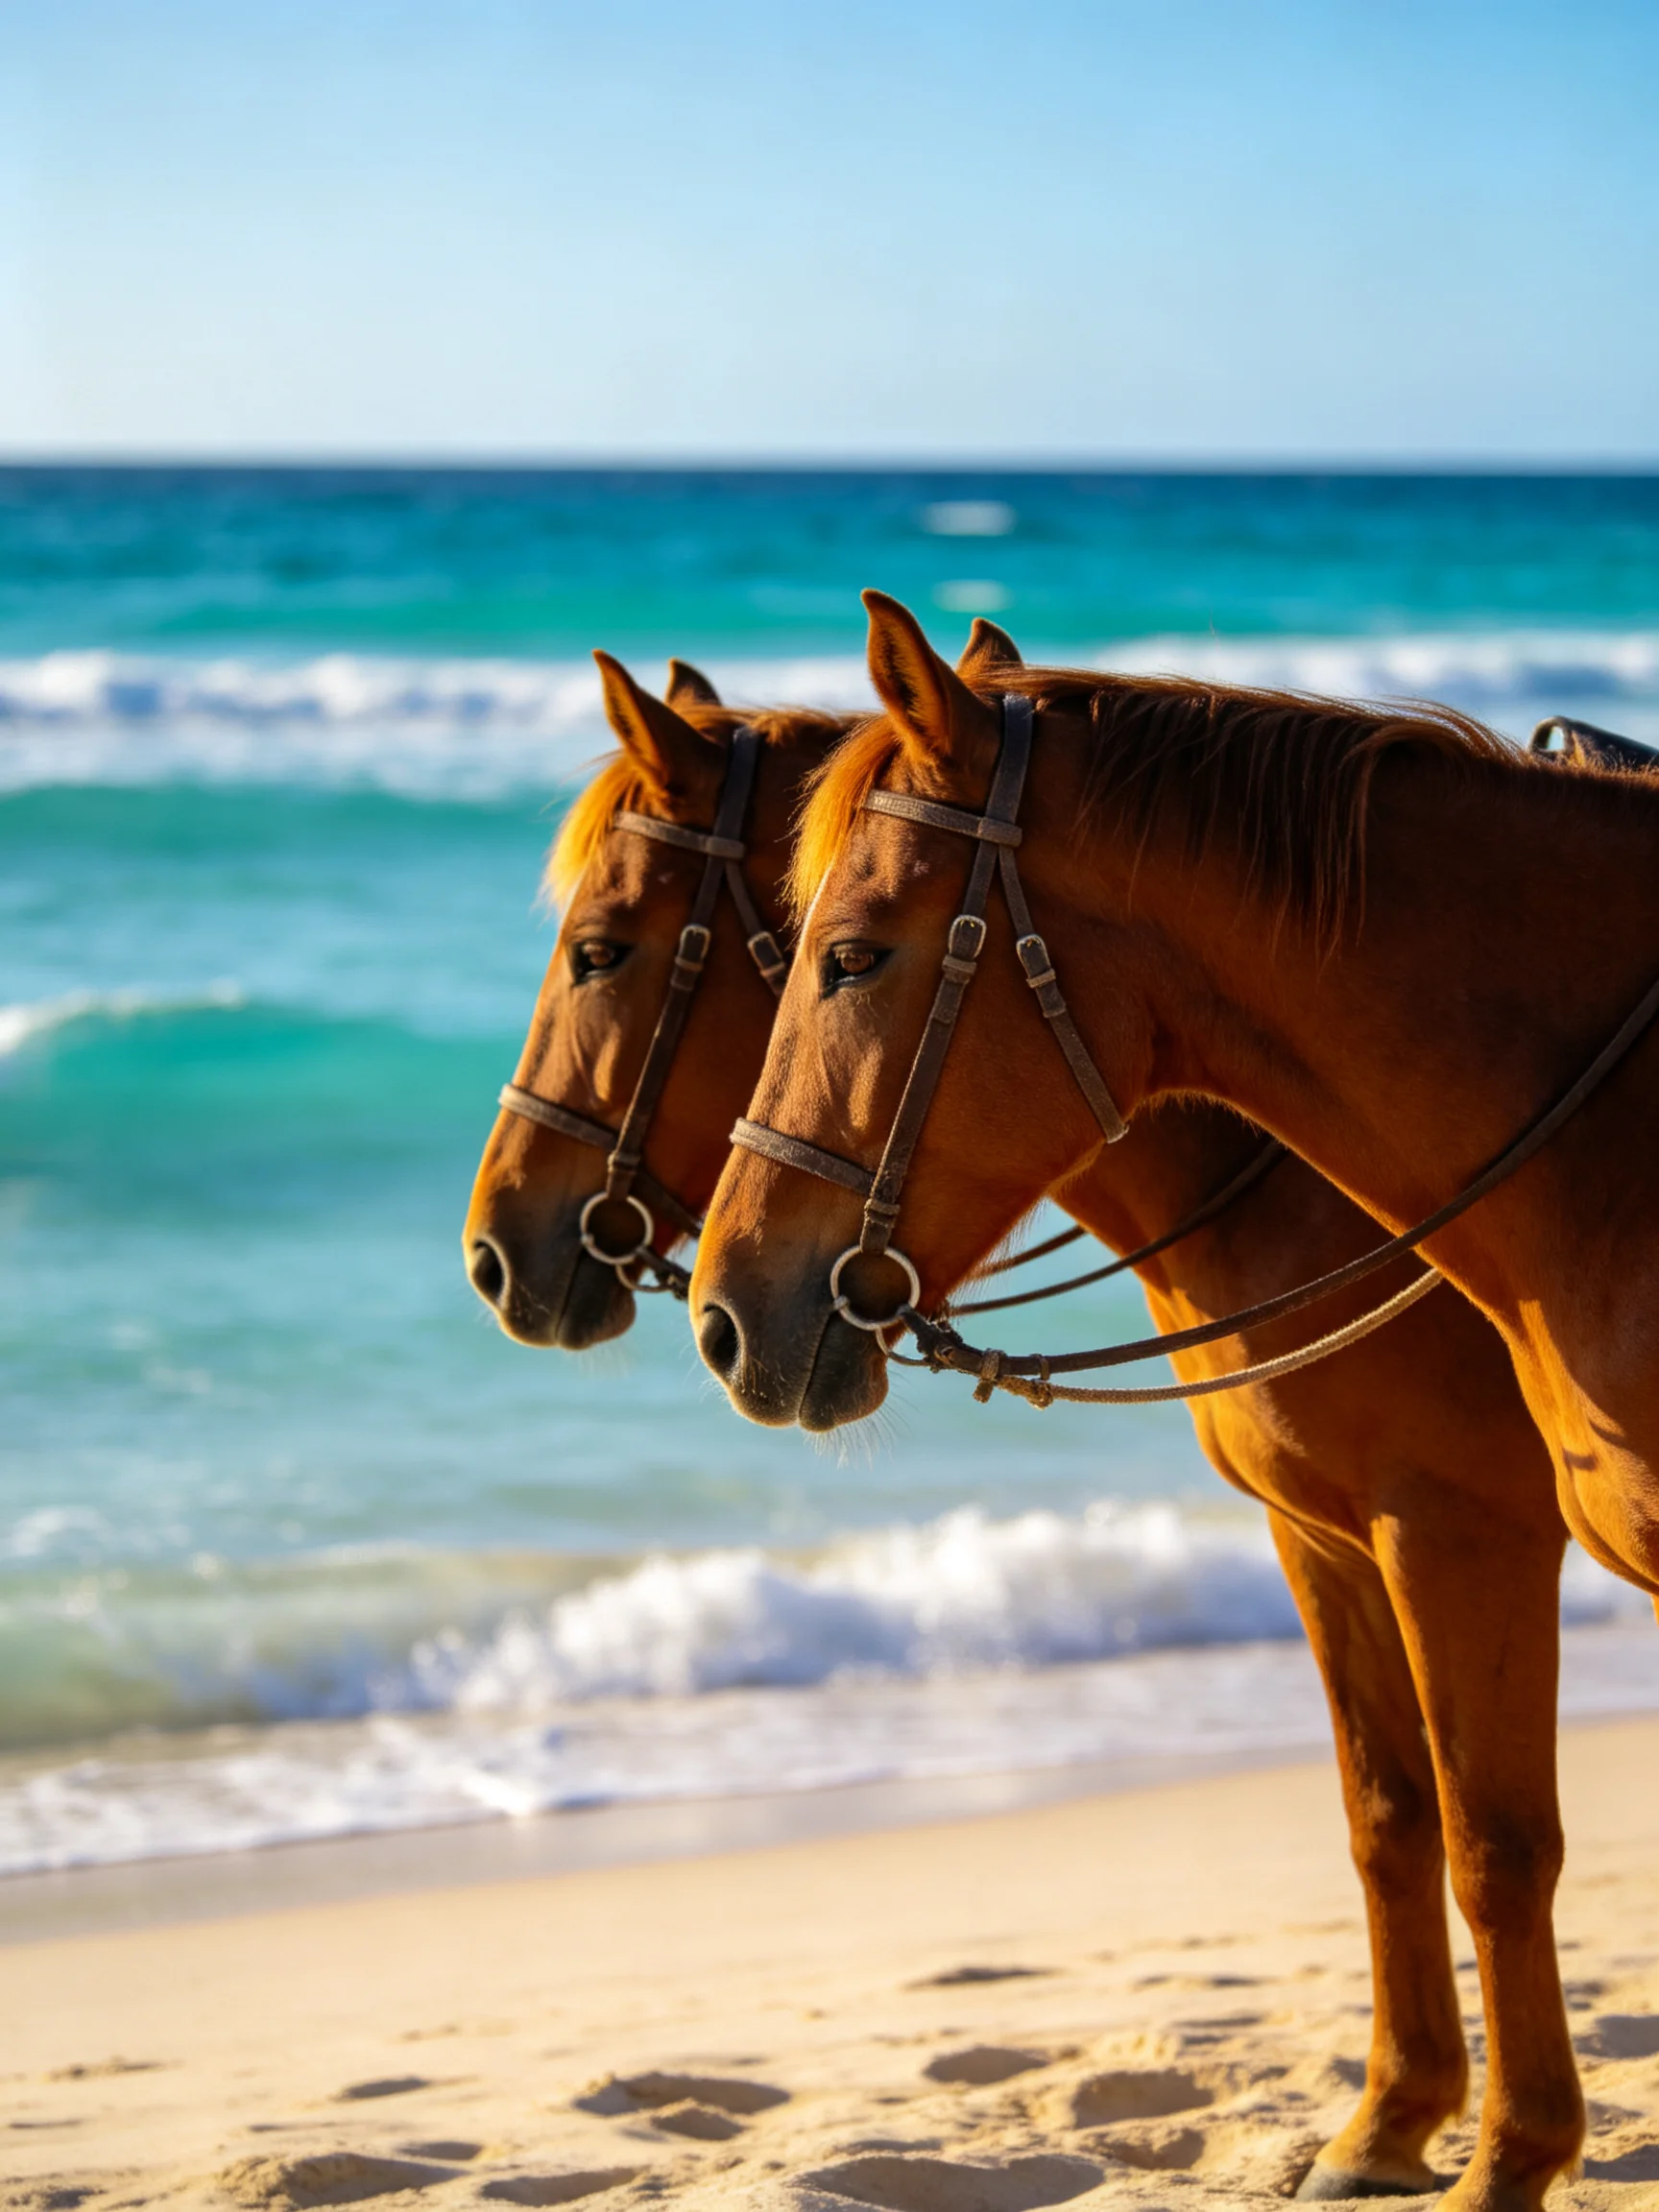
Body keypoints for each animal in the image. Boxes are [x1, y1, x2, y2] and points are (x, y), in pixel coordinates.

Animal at [474, 639, 1586, 2208]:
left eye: (600, 952)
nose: (494, 1249)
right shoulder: (1329, 1542)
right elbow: (1389, 1822)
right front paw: (1389, 2122)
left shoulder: (1459, 1537)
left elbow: (1495, 1846)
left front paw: (1509, 2146)